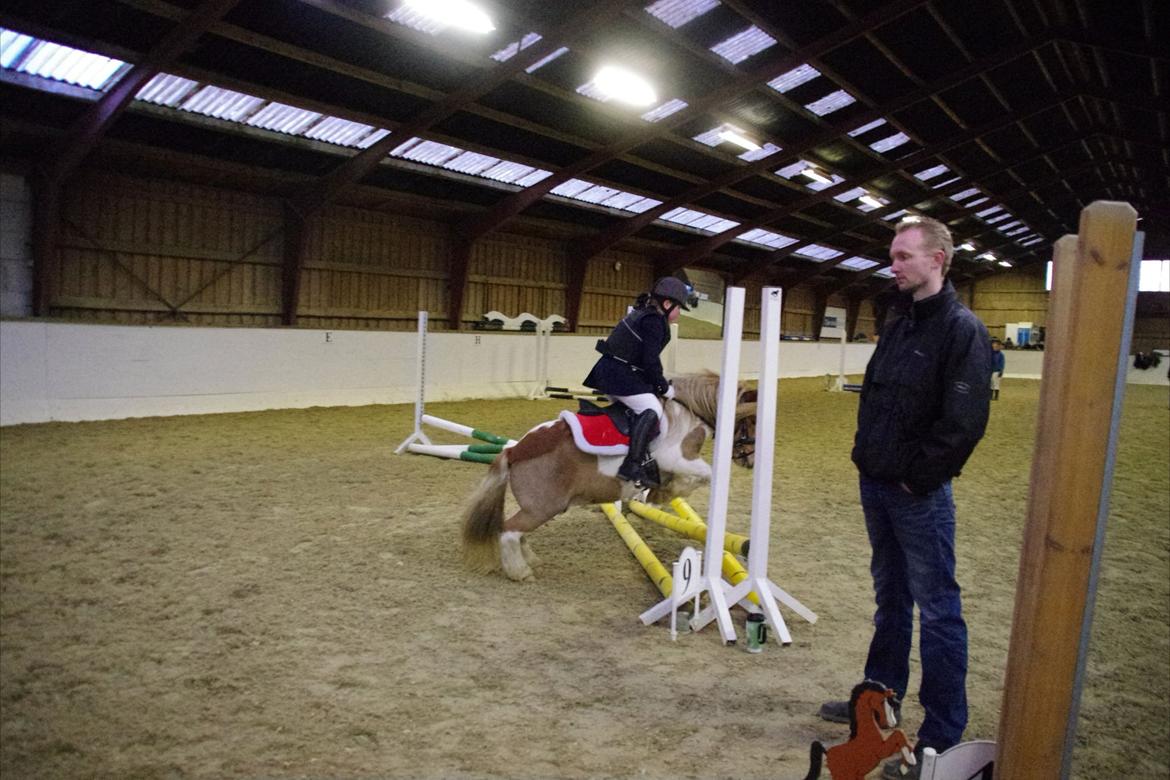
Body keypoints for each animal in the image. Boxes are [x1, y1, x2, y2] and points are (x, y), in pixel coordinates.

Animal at [460, 374, 753, 582]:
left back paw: (530, 561)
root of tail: (514, 449)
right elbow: (704, 475)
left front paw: (657, 496)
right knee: (509, 531)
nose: (749, 461)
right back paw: (520, 572)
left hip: (537, 508)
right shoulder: (677, 458)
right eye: (751, 421)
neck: (687, 414)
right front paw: (664, 493)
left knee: (517, 532)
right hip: (542, 508)